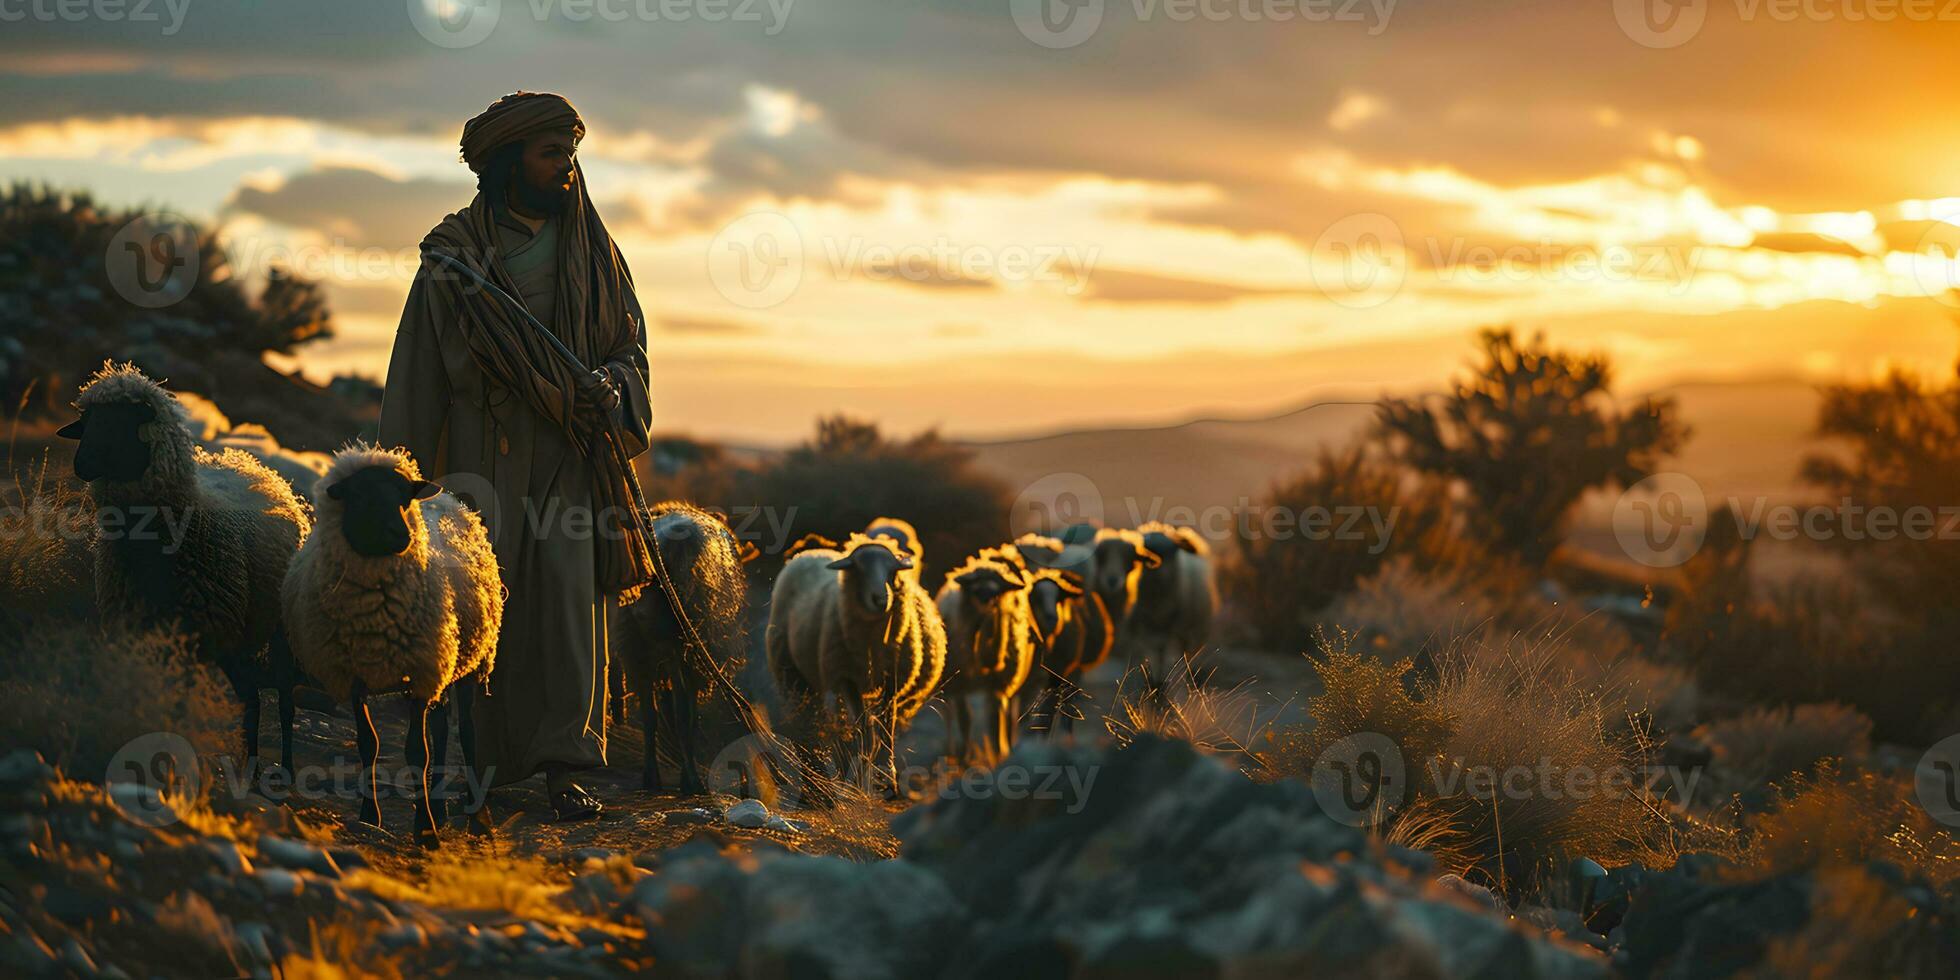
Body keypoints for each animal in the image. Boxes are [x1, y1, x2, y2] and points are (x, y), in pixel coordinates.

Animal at [54, 360, 309, 780]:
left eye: (120, 421)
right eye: (86, 422)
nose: (81, 464)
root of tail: (250, 465)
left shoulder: (198, 633)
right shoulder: (141, 630)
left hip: (272, 629)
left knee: (280, 700)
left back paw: (281, 767)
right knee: (253, 698)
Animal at [280, 444, 505, 842]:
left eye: (404, 499)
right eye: (362, 496)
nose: (402, 535)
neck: (374, 614)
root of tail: (450, 498)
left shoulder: (418, 671)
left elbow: (417, 751)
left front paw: (425, 829)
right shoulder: (354, 675)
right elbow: (368, 744)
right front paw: (371, 815)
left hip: (467, 659)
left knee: (467, 732)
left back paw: (475, 815)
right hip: (441, 660)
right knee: (442, 728)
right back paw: (441, 806)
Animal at [619, 497, 756, 795]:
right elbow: (687, 715)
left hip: (638, 646)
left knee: (651, 714)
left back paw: (652, 776)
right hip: (679, 645)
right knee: (681, 714)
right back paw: (691, 780)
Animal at [764, 537, 948, 795]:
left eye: (892, 571)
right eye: (859, 569)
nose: (881, 599)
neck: (872, 641)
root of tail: (806, 553)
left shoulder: (890, 681)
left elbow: (884, 732)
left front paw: (885, 778)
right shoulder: (847, 679)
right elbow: (864, 735)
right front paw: (860, 781)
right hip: (792, 673)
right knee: (809, 722)